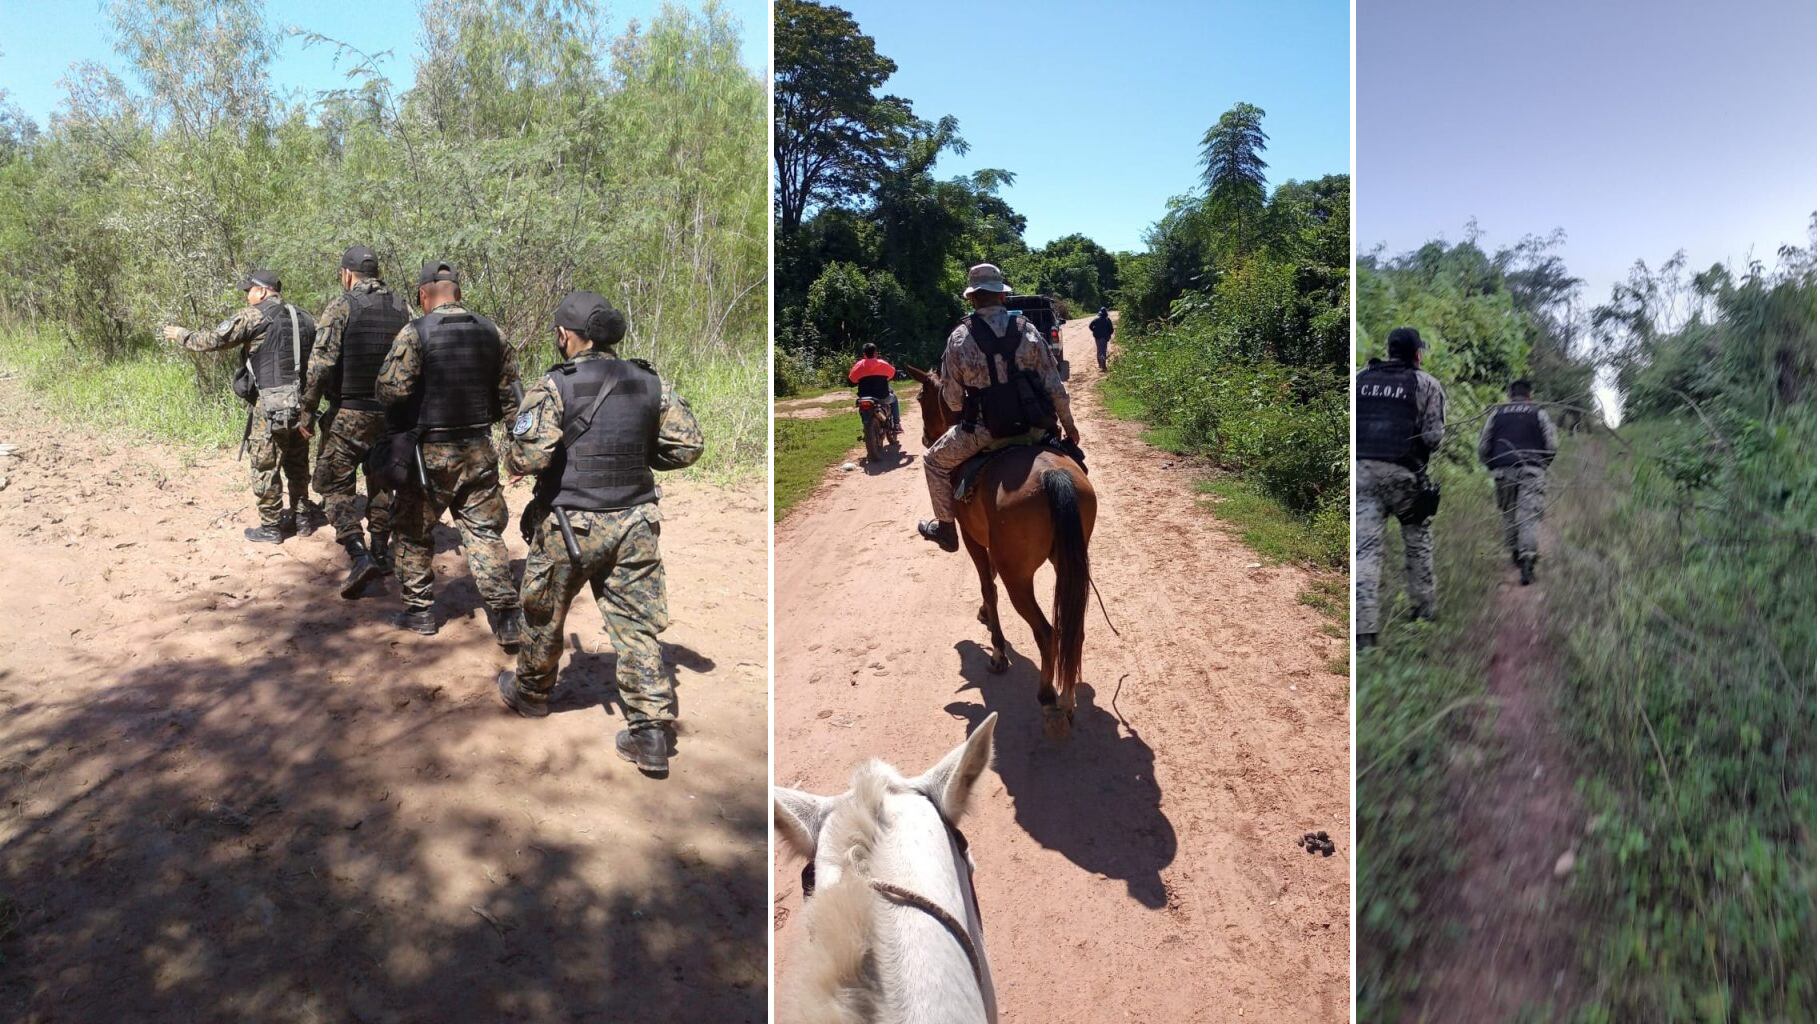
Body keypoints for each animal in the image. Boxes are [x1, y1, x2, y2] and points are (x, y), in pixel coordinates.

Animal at [906, 367, 1092, 738]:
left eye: (921, 398)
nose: (924, 438)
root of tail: (1054, 475)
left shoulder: (973, 539)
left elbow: (987, 585)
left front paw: (997, 652)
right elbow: (987, 582)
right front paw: (984, 617)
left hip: (1017, 577)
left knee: (1047, 632)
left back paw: (1048, 698)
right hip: (1070, 563)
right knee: (1072, 630)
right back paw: (1068, 701)